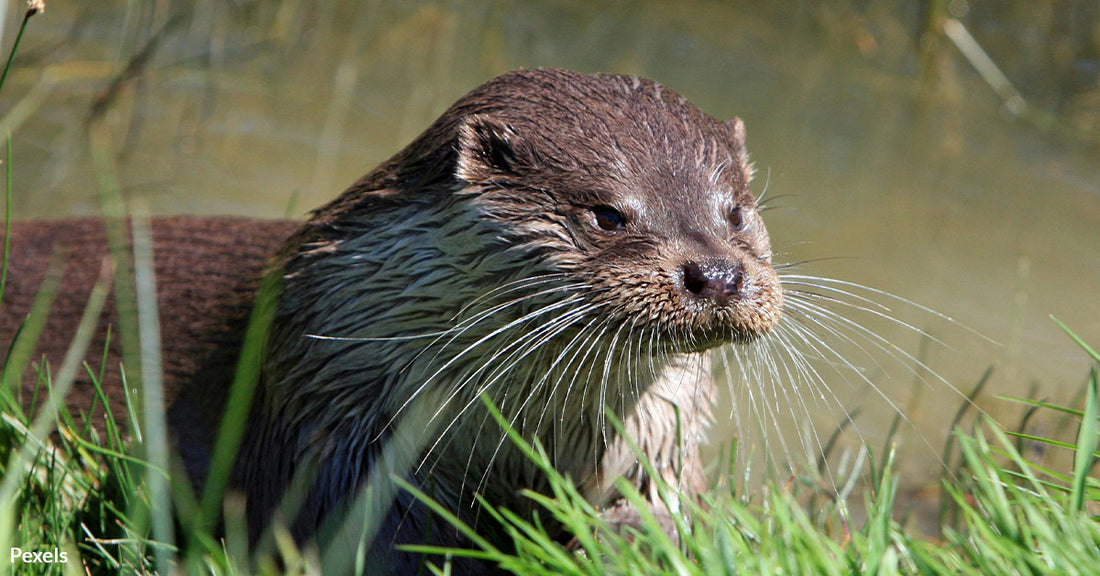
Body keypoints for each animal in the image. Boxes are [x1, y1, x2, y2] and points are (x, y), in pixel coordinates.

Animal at [4, 67, 787, 571]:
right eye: (607, 214)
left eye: (736, 213)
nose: (718, 275)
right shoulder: (330, 423)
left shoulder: (660, 438)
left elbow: (671, 516)